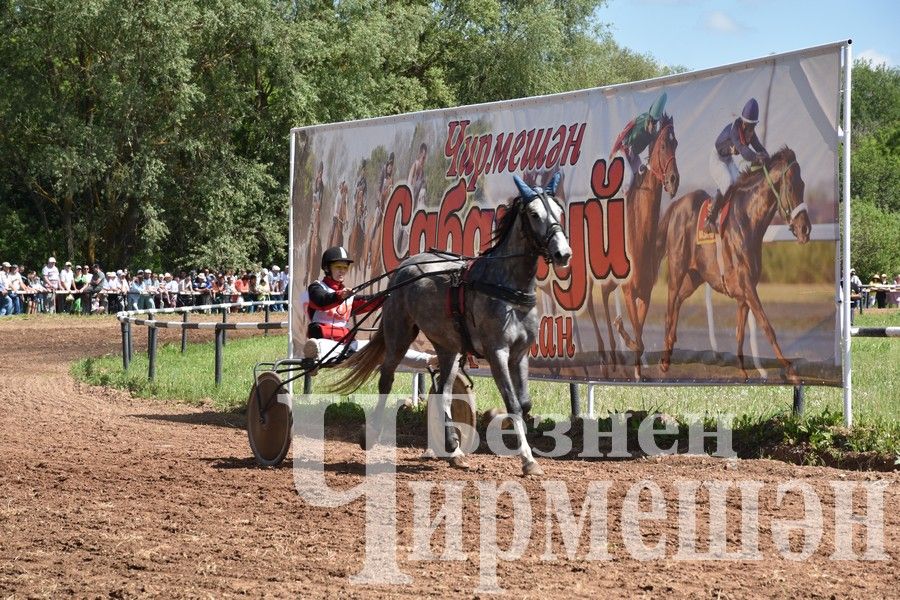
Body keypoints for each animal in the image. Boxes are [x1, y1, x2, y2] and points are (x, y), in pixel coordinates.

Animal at [334, 175, 572, 478]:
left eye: (560, 212)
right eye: (534, 214)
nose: (563, 253)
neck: (507, 287)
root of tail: (405, 267)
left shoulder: (520, 354)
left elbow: (524, 403)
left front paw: (500, 422)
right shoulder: (497, 352)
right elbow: (513, 402)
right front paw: (528, 459)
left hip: (448, 348)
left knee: (444, 393)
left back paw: (454, 449)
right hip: (399, 334)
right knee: (386, 379)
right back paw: (371, 433)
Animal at [596, 115, 680, 380]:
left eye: (676, 144)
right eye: (663, 146)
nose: (673, 180)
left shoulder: (645, 292)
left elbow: (640, 334)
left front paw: (638, 372)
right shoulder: (628, 291)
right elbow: (638, 339)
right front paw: (623, 331)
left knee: (603, 296)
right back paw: (607, 356)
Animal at [656, 146, 812, 380]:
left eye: (803, 185)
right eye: (792, 187)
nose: (805, 230)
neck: (748, 221)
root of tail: (676, 205)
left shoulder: (744, 293)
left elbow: (740, 333)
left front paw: (742, 370)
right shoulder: (747, 287)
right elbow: (767, 326)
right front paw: (790, 369)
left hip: (694, 277)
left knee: (677, 303)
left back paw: (671, 345)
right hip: (677, 270)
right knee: (668, 306)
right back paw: (665, 359)